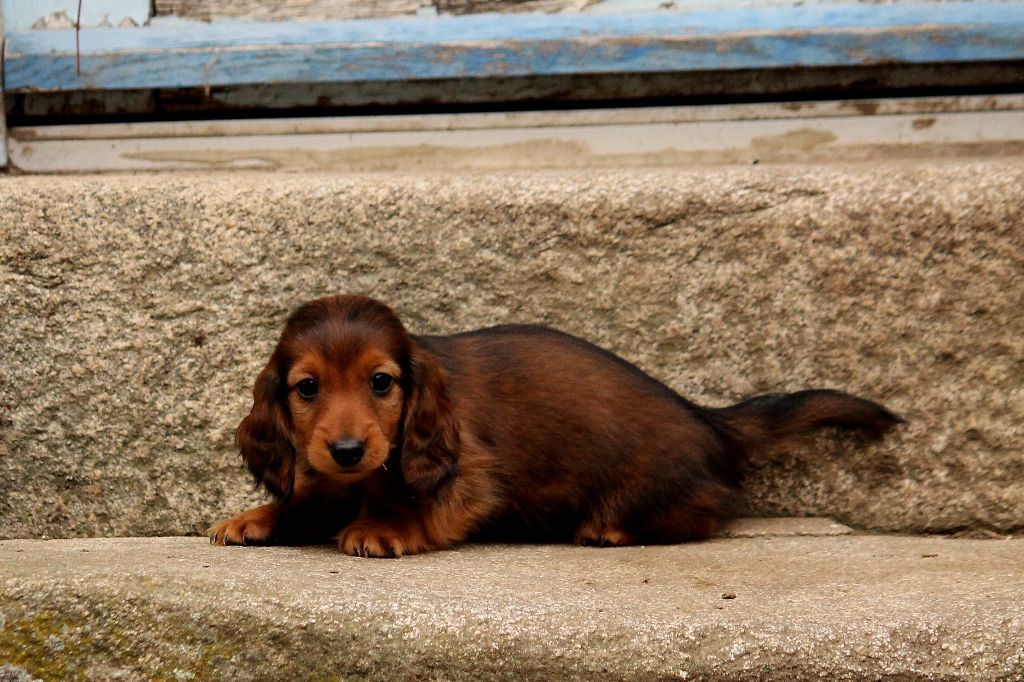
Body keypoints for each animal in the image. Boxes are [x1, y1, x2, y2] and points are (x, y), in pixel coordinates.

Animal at [209, 295, 902, 557]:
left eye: (382, 382)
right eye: (307, 388)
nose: (350, 449)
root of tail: (707, 418)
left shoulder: (467, 475)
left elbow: (413, 501)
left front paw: (385, 527)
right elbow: (311, 495)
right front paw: (258, 516)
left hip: (654, 485)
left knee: (710, 511)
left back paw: (611, 528)